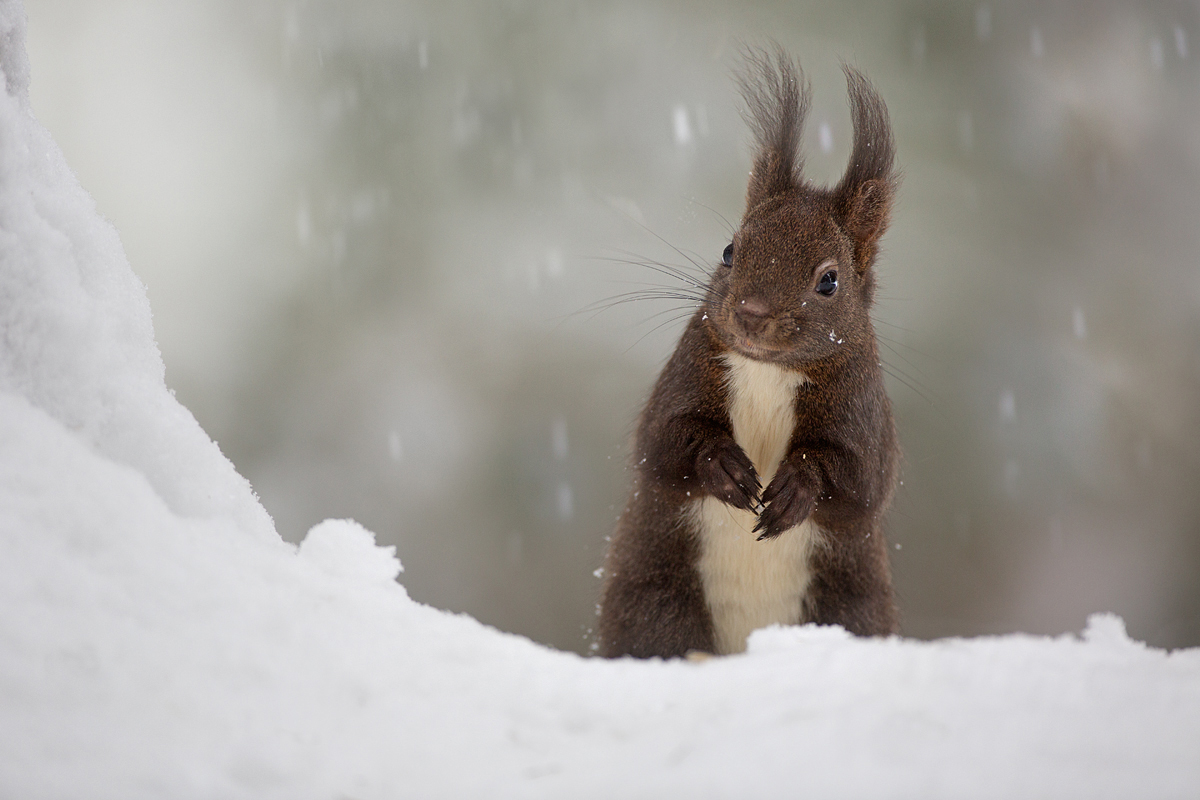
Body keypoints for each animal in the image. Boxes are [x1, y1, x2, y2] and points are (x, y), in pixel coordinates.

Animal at [597, 51, 902, 662]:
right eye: (729, 250)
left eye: (829, 280)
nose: (752, 312)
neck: (767, 371)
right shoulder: (686, 374)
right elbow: (662, 440)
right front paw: (723, 465)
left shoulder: (864, 411)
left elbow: (860, 477)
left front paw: (796, 487)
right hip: (653, 599)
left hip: (851, 607)